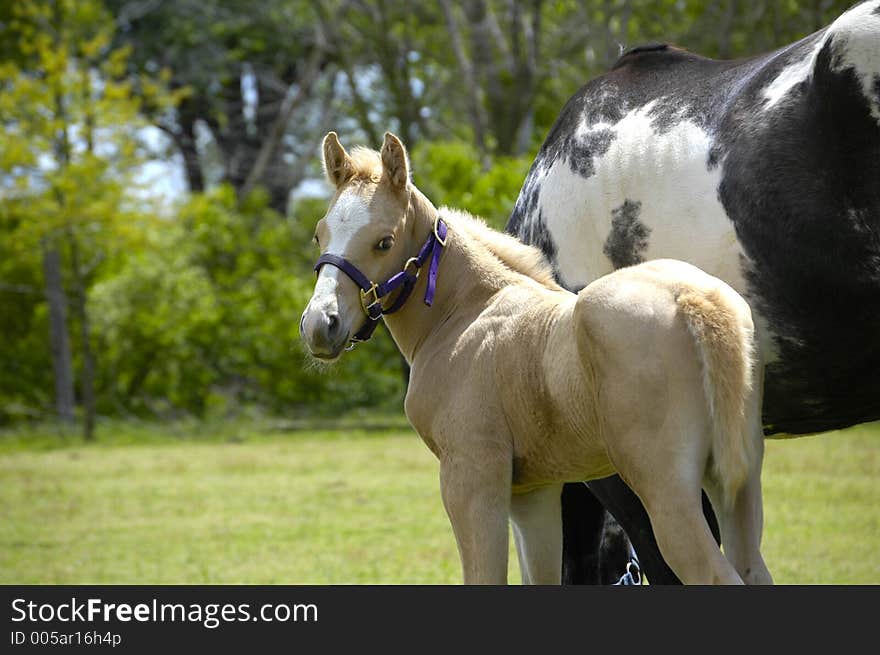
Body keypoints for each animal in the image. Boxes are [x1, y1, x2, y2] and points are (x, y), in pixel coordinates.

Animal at [300, 132, 768, 584]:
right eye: (319, 234)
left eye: (384, 241)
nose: (320, 325)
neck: (464, 313)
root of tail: (694, 299)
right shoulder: (532, 493)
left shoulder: (471, 475)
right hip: (736, 481)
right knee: (753, 569)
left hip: (665, 490)